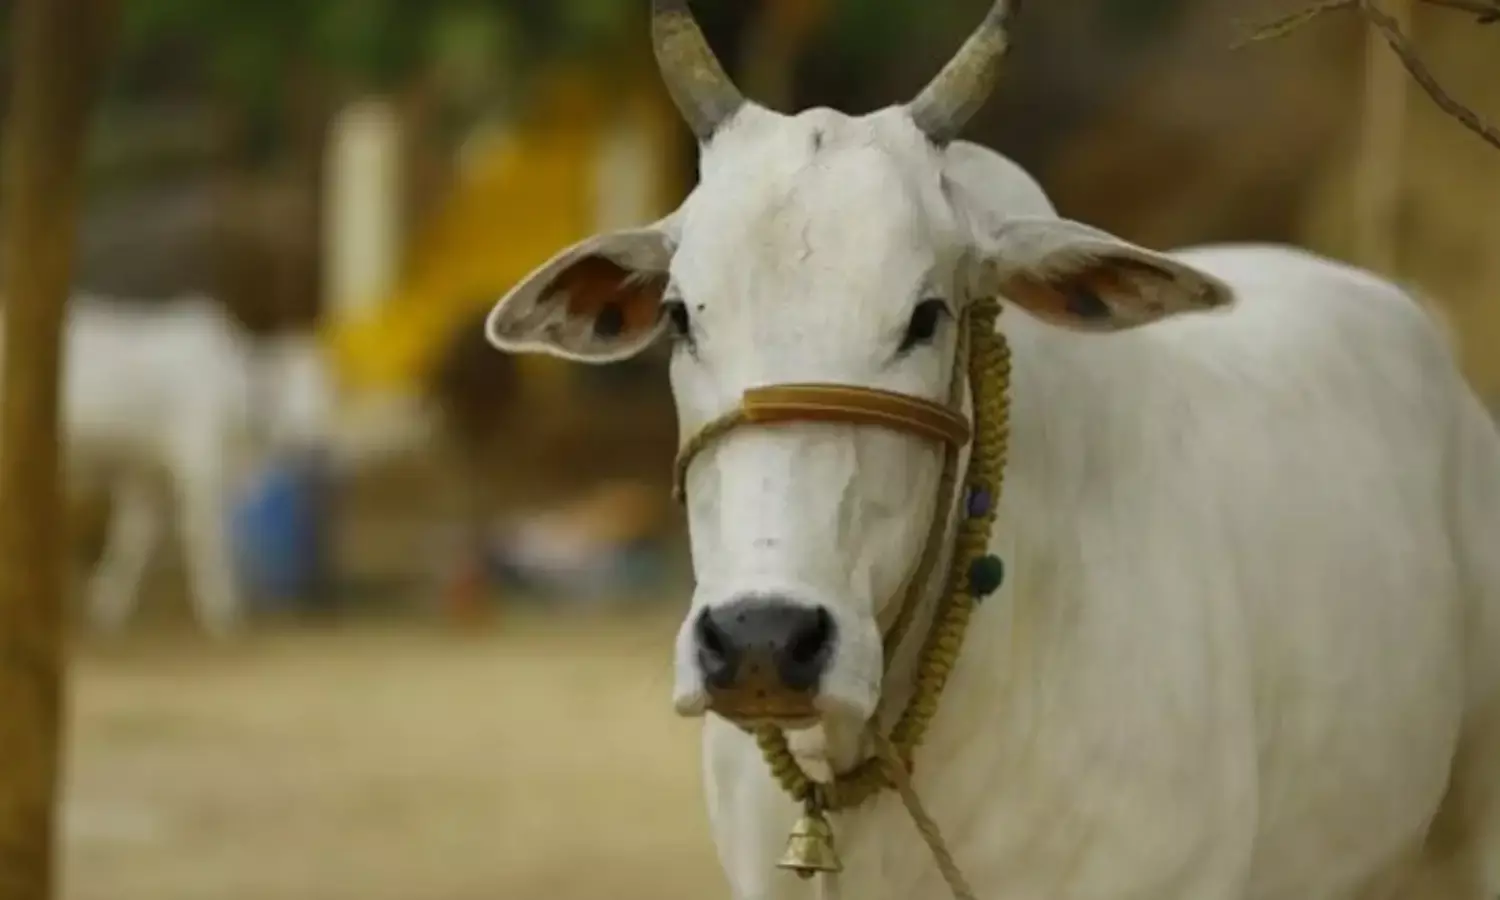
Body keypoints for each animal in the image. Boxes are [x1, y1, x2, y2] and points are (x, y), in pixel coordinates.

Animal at [33, 291, 337, 636]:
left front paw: (106, 606)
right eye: (286, 390)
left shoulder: (146, 473)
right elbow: (206, 538)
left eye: (330, 390)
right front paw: (222, 613)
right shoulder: (200, 468)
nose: (319, 444)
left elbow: (132, 537)